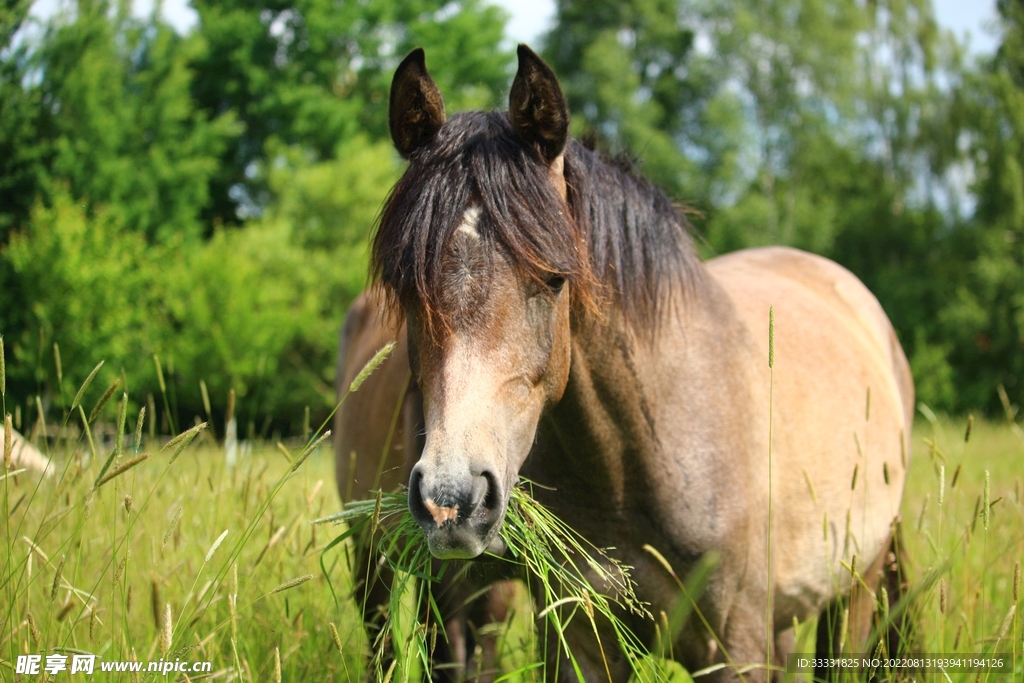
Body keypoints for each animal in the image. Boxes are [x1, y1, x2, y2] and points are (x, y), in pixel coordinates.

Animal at [337, 44, 914, 682]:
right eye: (403, 286)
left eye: (555, 279)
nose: (452, 500)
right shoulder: (580, 637)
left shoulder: (737, 643)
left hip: (855, 591)